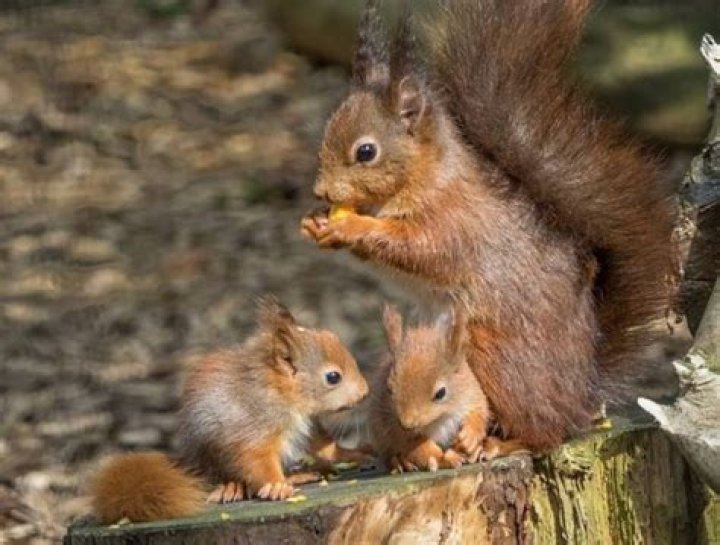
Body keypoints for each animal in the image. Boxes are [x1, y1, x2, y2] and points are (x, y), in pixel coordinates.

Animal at [90, 296, 369, 524]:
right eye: (333, 377)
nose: (365, 392)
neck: (282, 394)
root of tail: (192, 463)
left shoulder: (308, 425)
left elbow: (324, 446)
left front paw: (354, 454)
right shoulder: (255, 428)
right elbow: (256, 459)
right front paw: (277, 485)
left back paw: (300, 474)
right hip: (213, 454)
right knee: (232, 476)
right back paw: (235, 486)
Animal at [301, 0, 676, 452]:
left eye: (366, 152)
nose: (321, 191)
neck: (427, 177)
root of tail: (583, 393)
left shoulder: (453, 223)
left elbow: (417, 248)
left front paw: (351, 227)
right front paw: (316, 223)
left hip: (497, 357)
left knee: (548, 430)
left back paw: (508, 442)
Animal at [369, 304, 525, 471]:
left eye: (441, 393)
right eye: (389, 388)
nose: (407, 424)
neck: (440, 418)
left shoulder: (472, 393)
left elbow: (479, 412)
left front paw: (469, 438)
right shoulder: (394, 427)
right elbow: (418, 447)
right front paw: (443, 459)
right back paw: (400, 462)